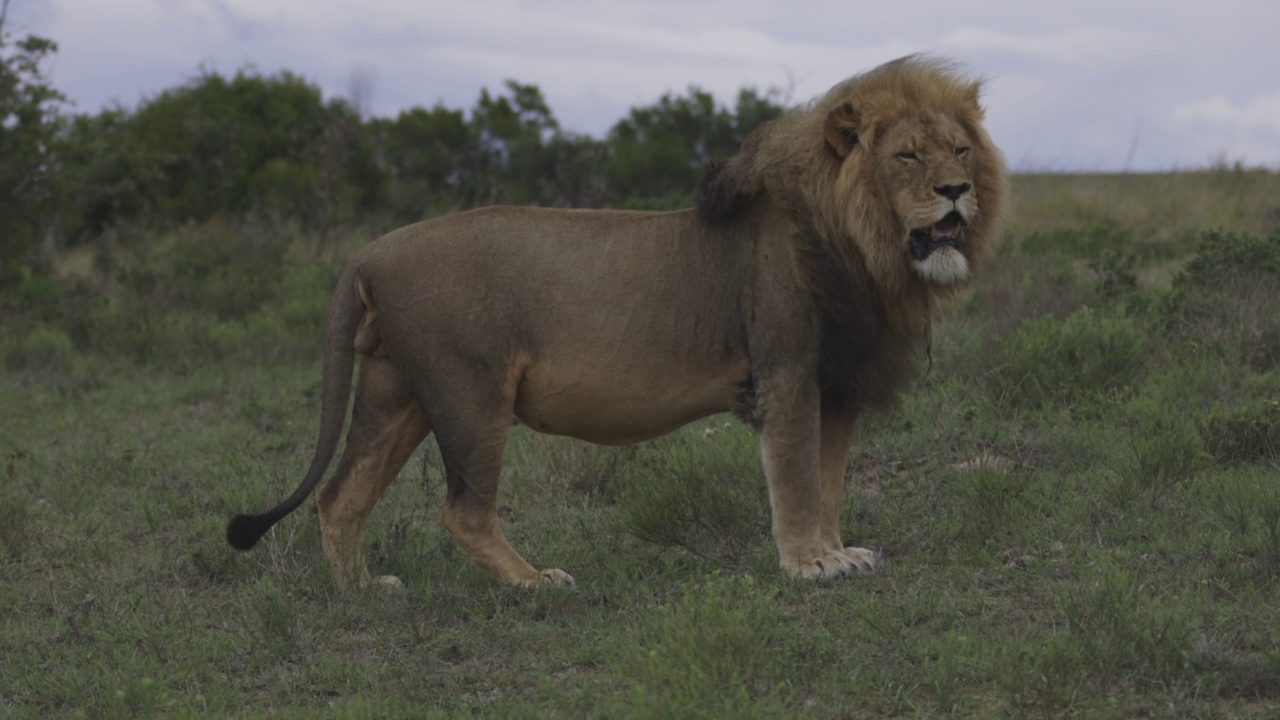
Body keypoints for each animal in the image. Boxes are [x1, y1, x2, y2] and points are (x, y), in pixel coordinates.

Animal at [230, 56, 1008, 591]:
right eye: (907, 155)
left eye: (961, 150)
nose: (956, 191)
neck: (864, 249)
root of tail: (370, 249)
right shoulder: (786, 372)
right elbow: (795, 478)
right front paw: (805, 566)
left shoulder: (836, 384)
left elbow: (829, 480)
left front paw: (836, 552)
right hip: (469, 393)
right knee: (463, 510)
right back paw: (534, 583)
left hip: (400, 393)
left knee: (339, 496)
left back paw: (361, 591)